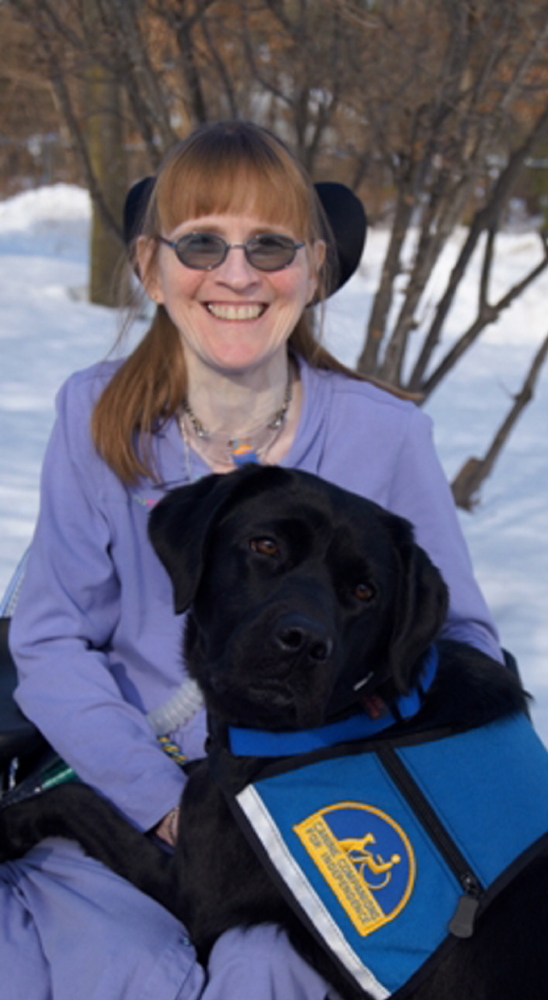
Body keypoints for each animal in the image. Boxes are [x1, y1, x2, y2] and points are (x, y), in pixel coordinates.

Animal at [0, 468, 544, 1000]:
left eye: (365, 592)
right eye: (265, 546)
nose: (304, 642)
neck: (371, 711)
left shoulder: (190, 892)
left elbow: (78, 801)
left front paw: (12, 823)